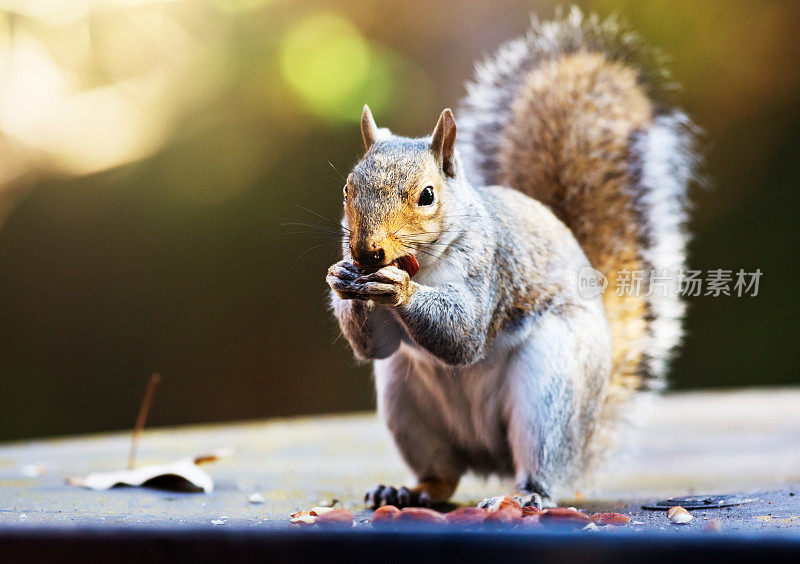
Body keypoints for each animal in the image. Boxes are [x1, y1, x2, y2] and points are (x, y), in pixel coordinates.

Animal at [324, 8, 692, 506]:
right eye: (347, 189)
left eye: (427, 195)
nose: (367, 251)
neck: (427, 263)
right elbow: (375, 346)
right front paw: (342, 277)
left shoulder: (489, 267)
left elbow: (464, 334)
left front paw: (398, 289)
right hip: (404, 399)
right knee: (443, 474)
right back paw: (406, 491)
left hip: (552, 390)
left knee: (540, 462)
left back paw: (524, 496)